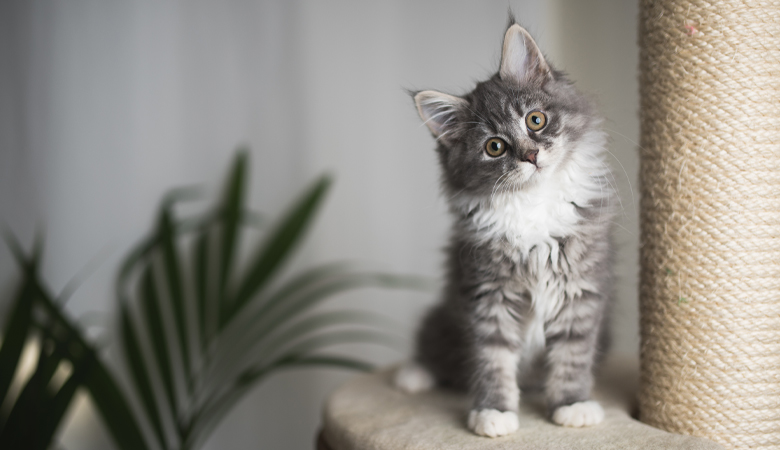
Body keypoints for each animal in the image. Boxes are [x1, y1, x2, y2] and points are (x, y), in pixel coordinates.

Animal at [396, 20, 616, 436]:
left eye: (535, 120)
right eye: (495, 147)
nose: (531, 156)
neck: (532, 204)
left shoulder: (580, 288)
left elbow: (573, 353)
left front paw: (572, 404)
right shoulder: (487, 292)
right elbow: (492, 358)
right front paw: (493, 411)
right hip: (442, 317)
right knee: (436, 352)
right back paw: (412, 374)